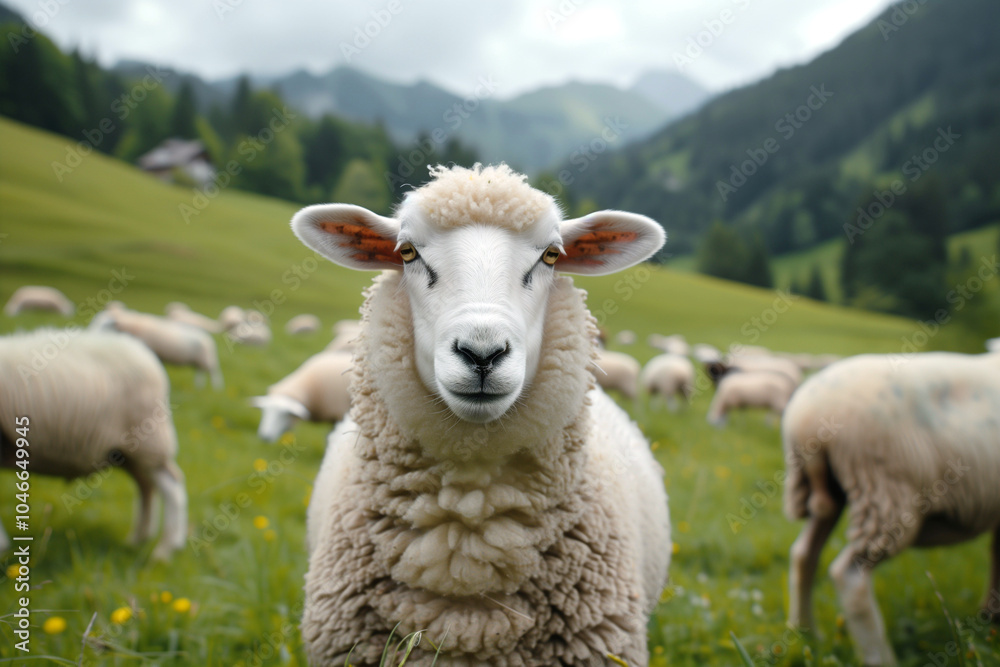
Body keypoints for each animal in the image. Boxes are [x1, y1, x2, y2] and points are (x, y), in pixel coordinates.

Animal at [0, 328, 187, 560]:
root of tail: (142, 350)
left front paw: (2, 546)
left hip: (149, 442)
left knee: (172, 487)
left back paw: (165, 550)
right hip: (127, 452)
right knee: (146, 485)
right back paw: (138, 539)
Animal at [90, 306, 224, 390]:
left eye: (106, 325)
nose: (90, 334)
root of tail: (207, 337)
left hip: (207, 359)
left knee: (214, 372)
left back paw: (217, 388)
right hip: (198, 361)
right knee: (200, 372)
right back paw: (199, 386)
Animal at [783, 352, 1000, 666]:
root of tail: (807, 420)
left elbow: (996, 551)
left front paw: (991, 614)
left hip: (833, 493)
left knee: (803, 554)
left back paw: (805, 633)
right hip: (885, 494)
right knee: (849, 576)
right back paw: (880, 657)